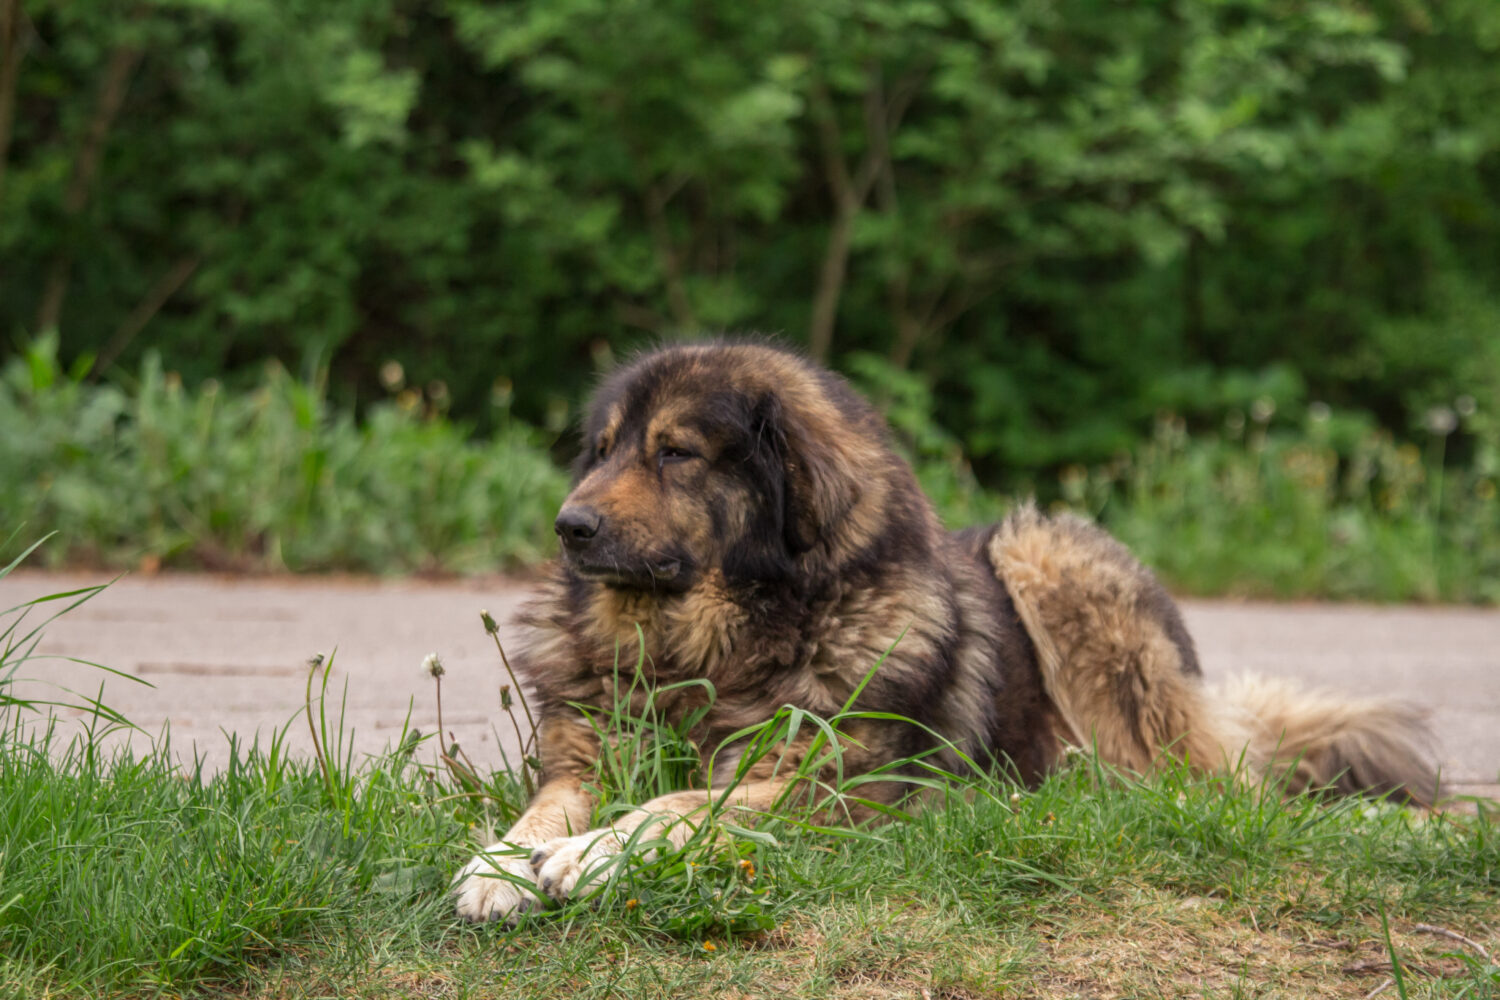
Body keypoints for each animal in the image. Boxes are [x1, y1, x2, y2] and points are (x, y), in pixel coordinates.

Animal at [450, 341, 1434, 923]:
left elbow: (683, 804)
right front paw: (505, 862)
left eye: (675, 453)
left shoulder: (834, 784)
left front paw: (594, 855)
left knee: (1190, 775)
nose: (569, 527)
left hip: (1048, 554)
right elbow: (546, 805)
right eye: (604, 448)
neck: (707, 648)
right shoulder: (585, 753)